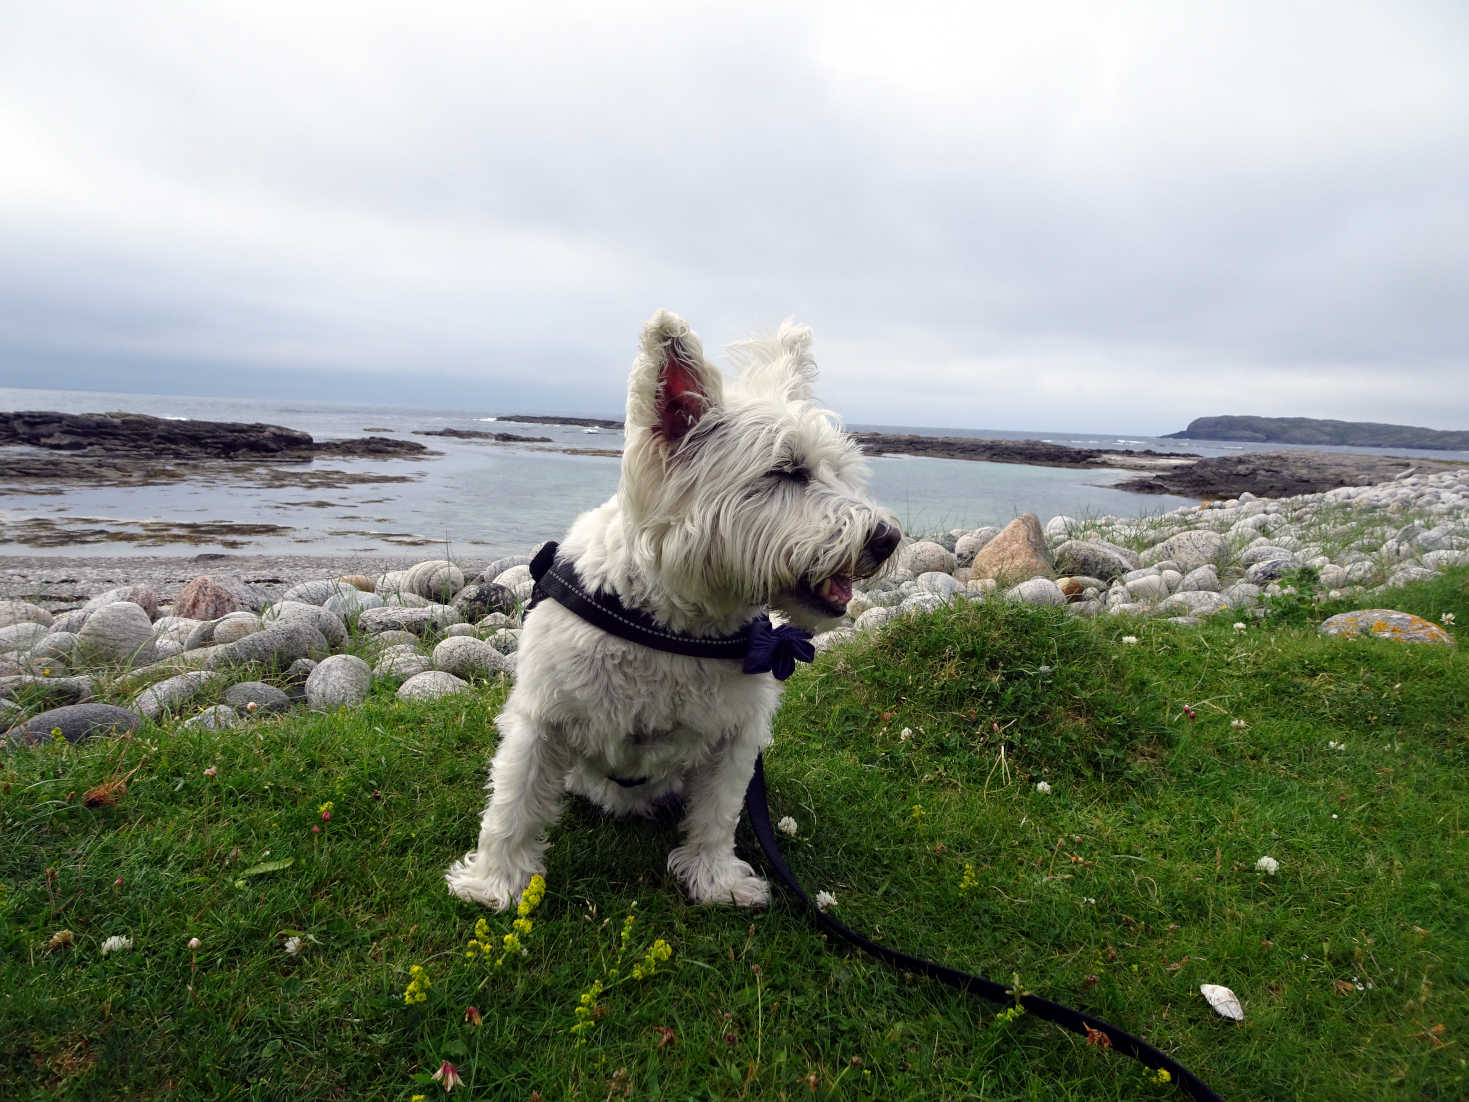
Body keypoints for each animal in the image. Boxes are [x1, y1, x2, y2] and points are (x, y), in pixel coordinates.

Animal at [446, 311, 899, 916]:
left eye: (840, 473)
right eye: (786, 470)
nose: (888, 538)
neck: (677, 624)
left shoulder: (736, 737)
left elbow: (717, 814)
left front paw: (715, 878)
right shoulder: (543, 717)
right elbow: (513, 803)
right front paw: (494, 883)